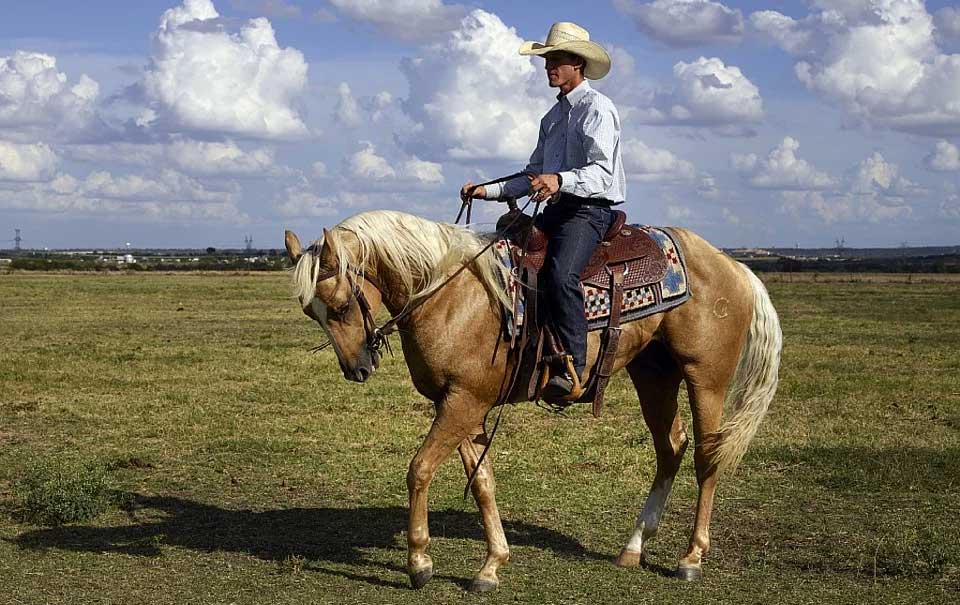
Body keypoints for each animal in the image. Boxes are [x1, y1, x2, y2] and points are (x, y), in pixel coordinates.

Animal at [284, 210, 780, 592]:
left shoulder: (463, 402)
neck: (451, 295)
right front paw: (491, 566)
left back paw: (691, 558)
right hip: (654, 374)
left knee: (707, 458)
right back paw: (634, 546)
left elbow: (419, 470)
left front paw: (420, 563)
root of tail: (731, 265)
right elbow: (482, 482)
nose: (356, 368)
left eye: (342, 306)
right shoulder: (464, 405)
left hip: (706, 379)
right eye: (311, 312)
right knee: (670, 448)